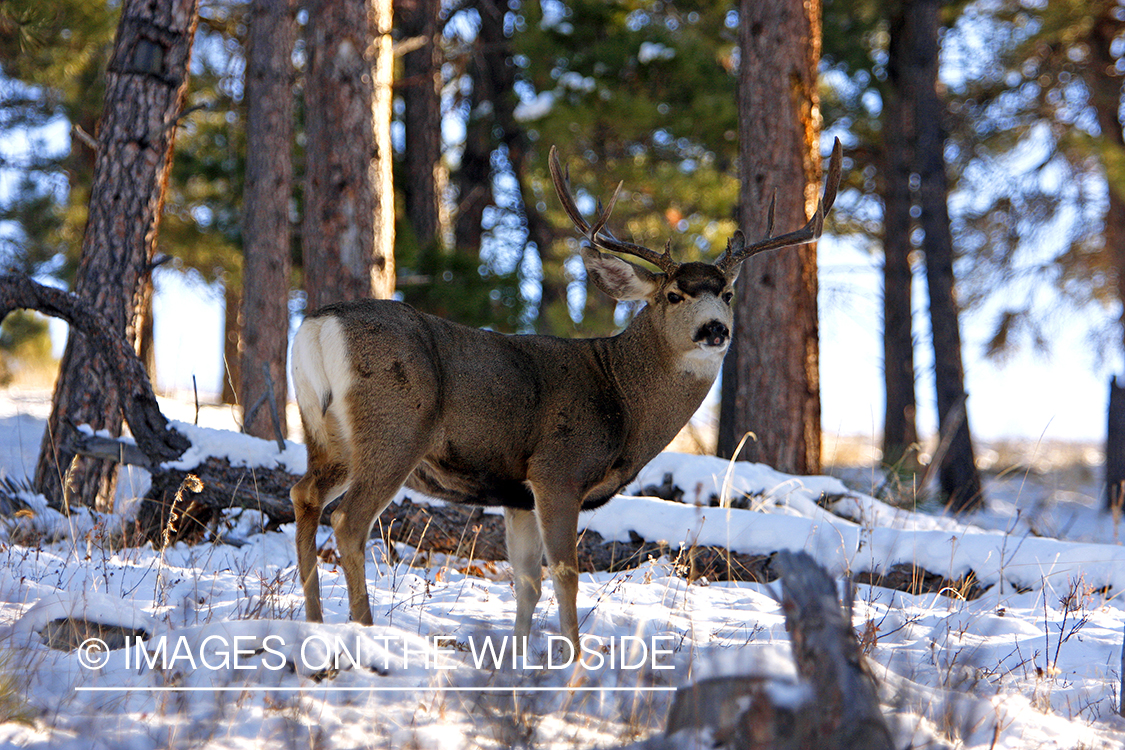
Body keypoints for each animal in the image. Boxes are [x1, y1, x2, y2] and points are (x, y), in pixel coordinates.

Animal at [289, 139, 842, 657]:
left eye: (727, 292)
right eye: (673, 295)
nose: (715, 330)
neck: (622, 396)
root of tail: (319, 326)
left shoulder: (515, 494)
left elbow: (527, 584)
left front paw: (517, 660)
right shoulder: (558, 469)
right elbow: (566, 576)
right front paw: (575, 662)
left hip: (328, 436)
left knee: (304, 496)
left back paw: (313, 626)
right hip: (396, 427)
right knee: (348, 521)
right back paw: (363, 634)